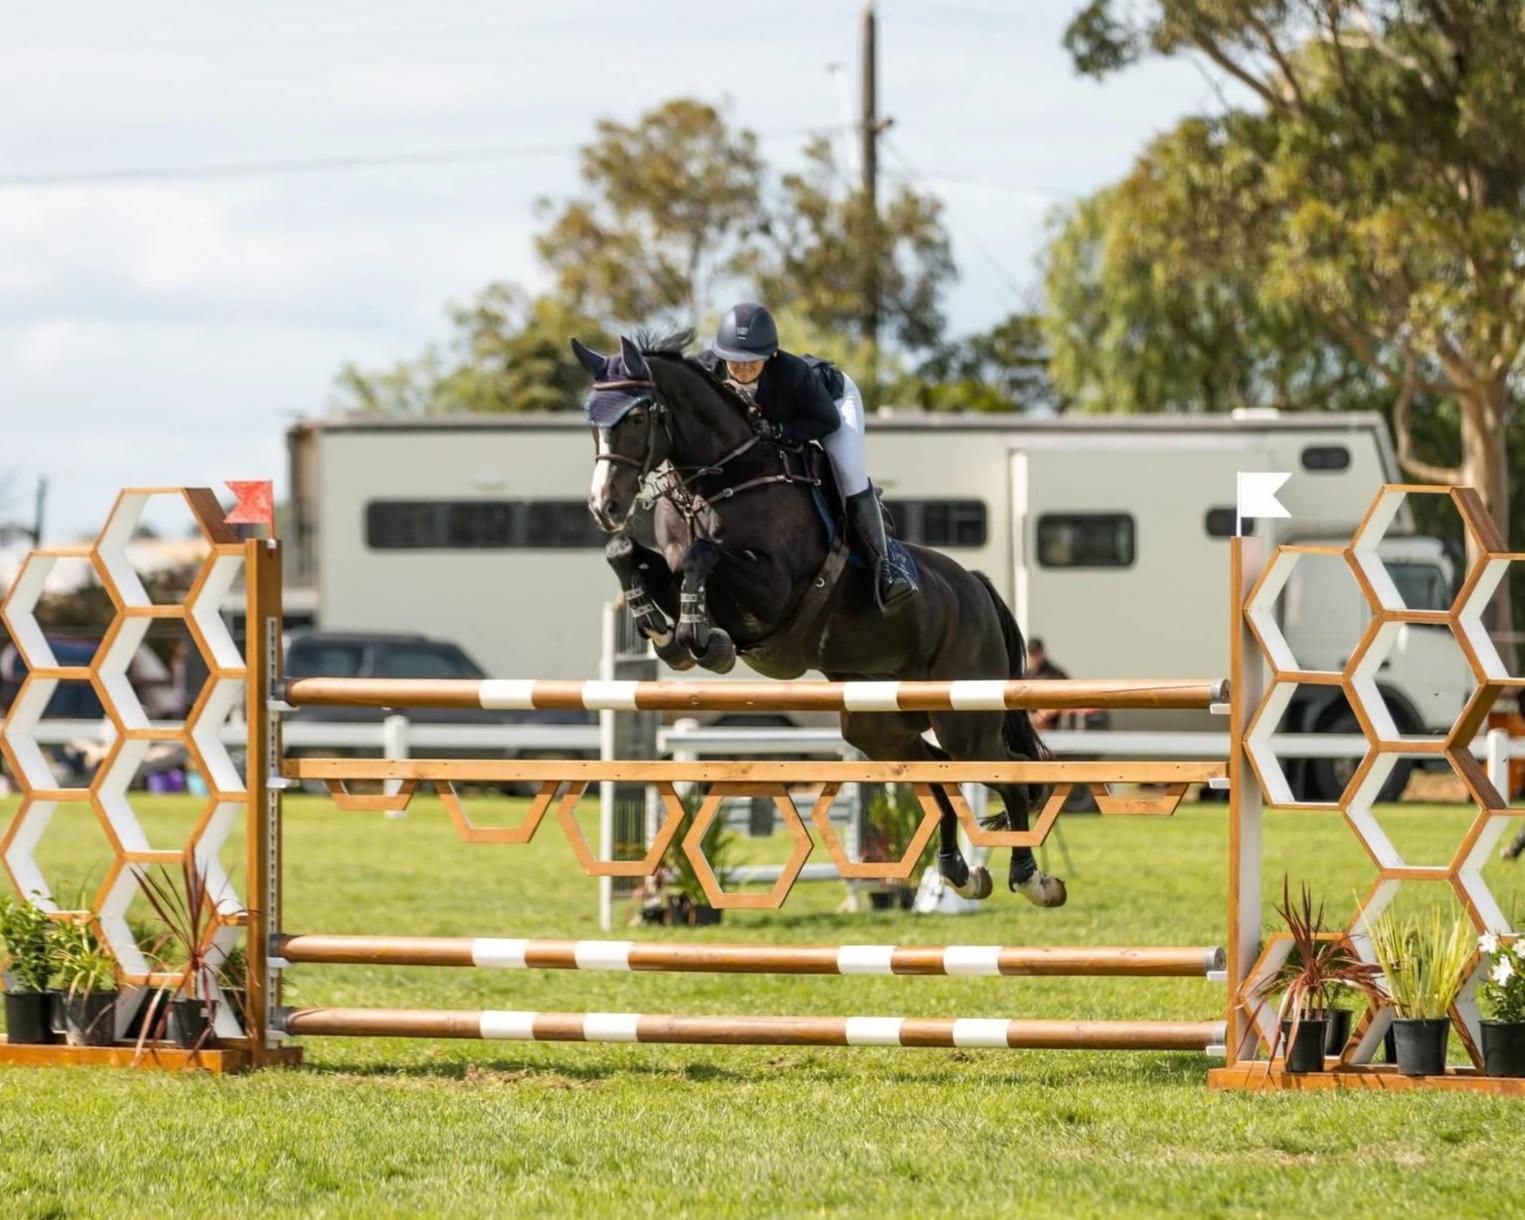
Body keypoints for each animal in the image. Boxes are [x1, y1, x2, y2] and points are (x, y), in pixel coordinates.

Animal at [573, 330, 1066, 908]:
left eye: (636, 415)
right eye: (592, 417)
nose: (604, 505)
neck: (720, 481)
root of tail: (976, 586)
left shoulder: (771, 591)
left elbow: (703, 553)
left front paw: (697, 635)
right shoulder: (674, 568)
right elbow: (629, 553)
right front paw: (661, 627)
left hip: (964, 716)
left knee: (1011, 771)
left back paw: (1032, 878)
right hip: (878, 724)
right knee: (936, 774)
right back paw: (958, 872)